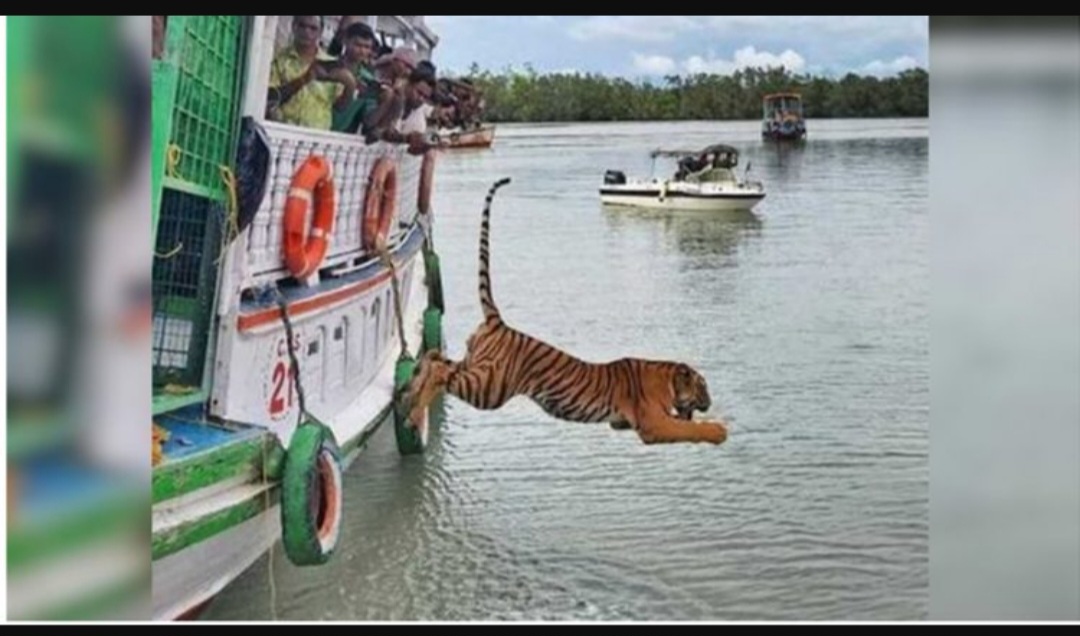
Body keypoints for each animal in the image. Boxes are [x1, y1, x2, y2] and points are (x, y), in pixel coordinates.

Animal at [404, 177, 729, 445]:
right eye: (703, 387)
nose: (711, 402)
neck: (666, 377)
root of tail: (498, 322)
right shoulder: (652, 424)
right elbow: (687, 428)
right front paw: (719, 431)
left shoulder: (624, 423)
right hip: (489, 387)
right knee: (440, 371)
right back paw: (413, 408)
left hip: (476, 365)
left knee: (434, 357)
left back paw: (410, 396)